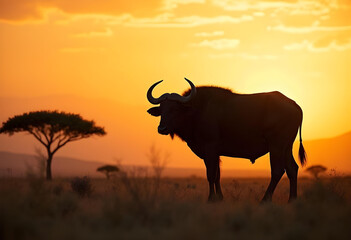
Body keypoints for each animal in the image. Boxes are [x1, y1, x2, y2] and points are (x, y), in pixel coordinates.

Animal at [147, 78, 306, 202]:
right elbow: (217, 174)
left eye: (175, 109)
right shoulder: (214, 153)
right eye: (162, 109)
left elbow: (211, 174)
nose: (162, 128)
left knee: (277, 171)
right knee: (292, 169)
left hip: (276, 146)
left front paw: (211, 199)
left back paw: (265, 200)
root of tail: (295, 105)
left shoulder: (210, 148)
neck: (198, 111)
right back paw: (292, 199)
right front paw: (219, 198)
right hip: (287, 147)